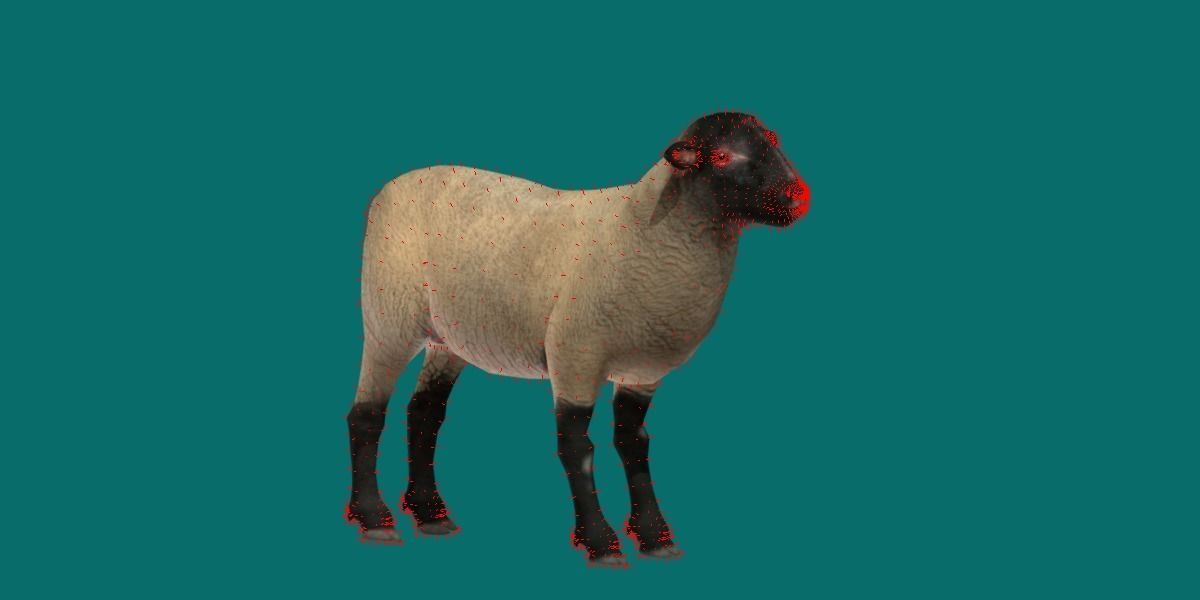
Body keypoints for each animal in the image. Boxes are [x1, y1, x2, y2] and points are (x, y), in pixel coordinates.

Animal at [345, 112, 810, 567]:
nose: (800, 197)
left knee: (424, 413)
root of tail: (398, 181)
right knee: (366, 415)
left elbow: (633, 443)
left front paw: (653, 536)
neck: (646, 230)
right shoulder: (575, 355)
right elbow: (577, 448)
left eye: (773, 141)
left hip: (449, 339)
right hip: (389, 316)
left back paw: (430, 513)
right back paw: (374, 518)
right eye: (722, 156)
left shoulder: (641, 373)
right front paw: (601, 542)